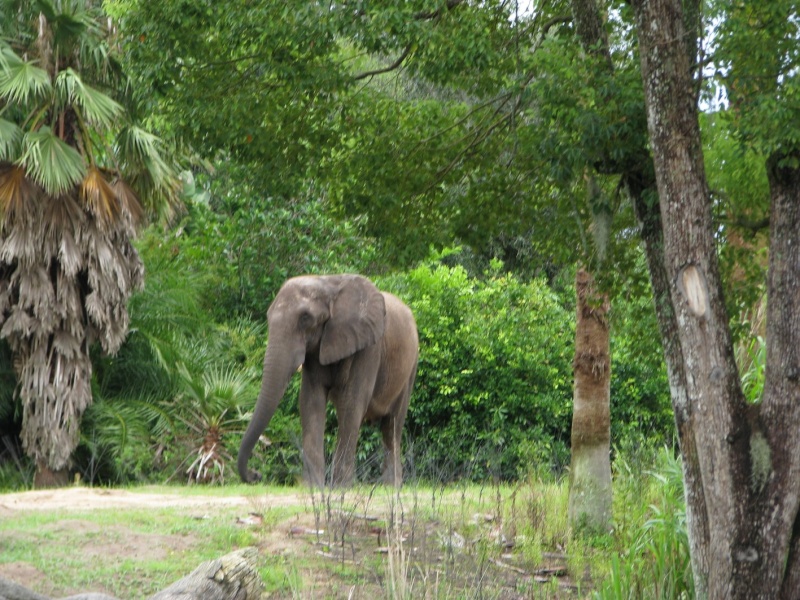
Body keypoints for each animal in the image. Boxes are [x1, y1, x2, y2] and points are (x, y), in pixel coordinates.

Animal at [238, 274, 418, 488]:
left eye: (305, 318)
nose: (256, 475)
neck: (328, 283)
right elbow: (310, 401)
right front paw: (312, 486)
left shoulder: (369, 348)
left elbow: (352, 403)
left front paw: (341, 487)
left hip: (411, 366)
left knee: (392, 425)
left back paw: (391, 486)